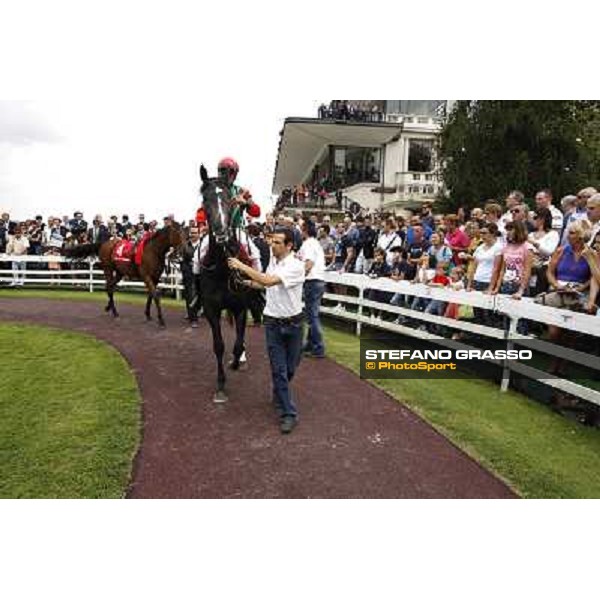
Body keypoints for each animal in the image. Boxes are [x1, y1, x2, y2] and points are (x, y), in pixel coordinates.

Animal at [199, 163, 262, 404]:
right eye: (205, 199)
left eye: (229, 199)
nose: (221, 235)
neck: (222, 268)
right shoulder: (211, 309)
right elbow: (219, 346)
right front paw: (220, 384)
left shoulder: (240, 307)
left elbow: (238, 344)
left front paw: (236, 361)